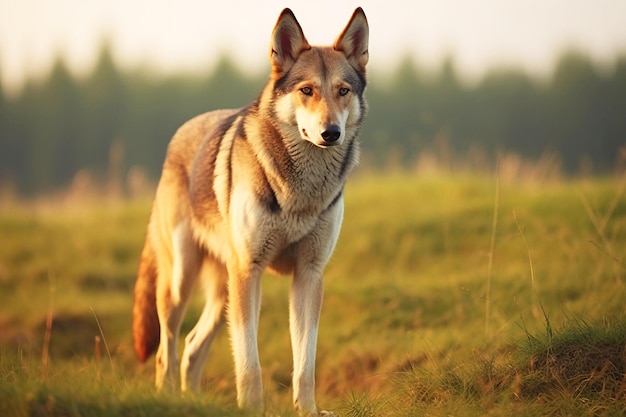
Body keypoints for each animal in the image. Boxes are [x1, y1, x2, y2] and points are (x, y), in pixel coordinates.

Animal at [130, 7, 366, 416]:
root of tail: (178, 135)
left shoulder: (309, 276)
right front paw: (252, 408)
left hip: (222, 292)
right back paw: (166, 399)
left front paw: (307, 410)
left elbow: (305, 364)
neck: (300, 192)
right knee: (167, 351)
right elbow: (249, 364)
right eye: (307, 91)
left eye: (343, 91)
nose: (331, 132)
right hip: (184, 284)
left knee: (191, 348)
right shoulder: (249, 271)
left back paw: (192, 402)